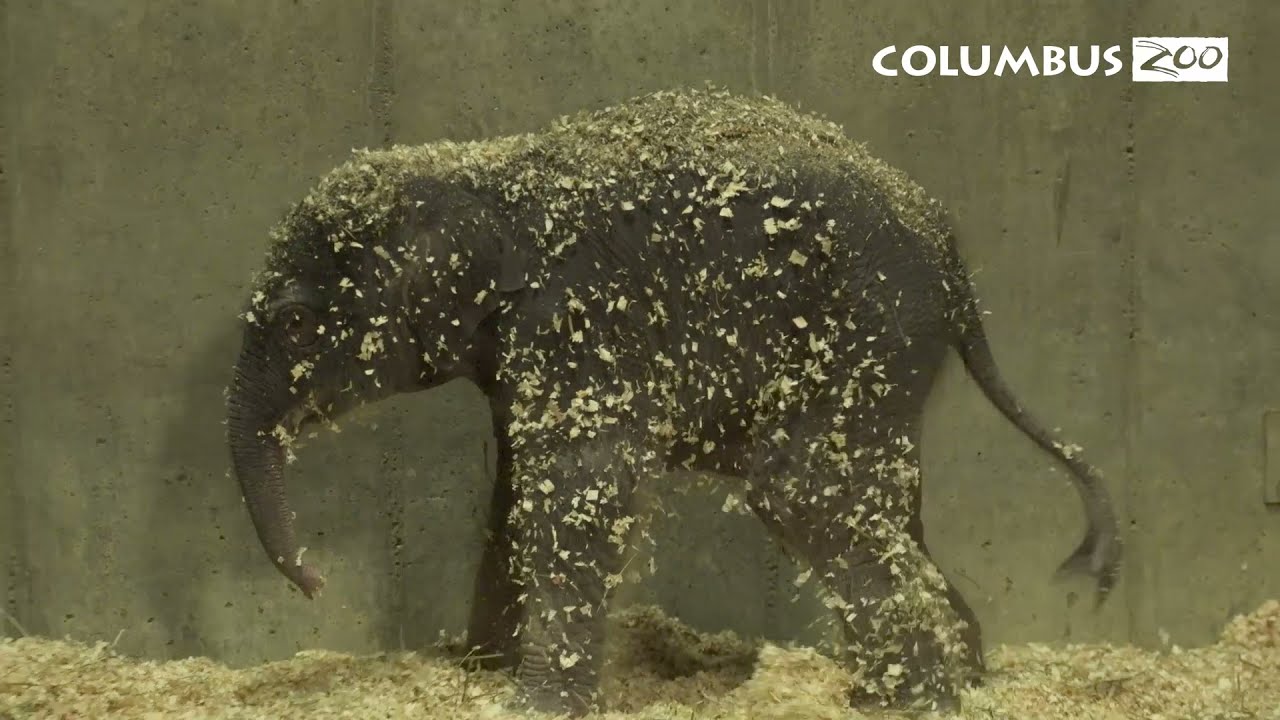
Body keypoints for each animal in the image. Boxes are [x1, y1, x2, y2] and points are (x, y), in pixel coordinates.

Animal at [225, 87, 1121, 716]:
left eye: (295, 320)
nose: (314, 583)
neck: (481, 170)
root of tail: (952, 258)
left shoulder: (580, 319)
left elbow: (583, 490)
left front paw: (532, 704)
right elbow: (517, 494)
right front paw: (480, 672)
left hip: (865, 335)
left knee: (802, 491)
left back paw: (917, 701)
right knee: (883, 505)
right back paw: (942, 684)